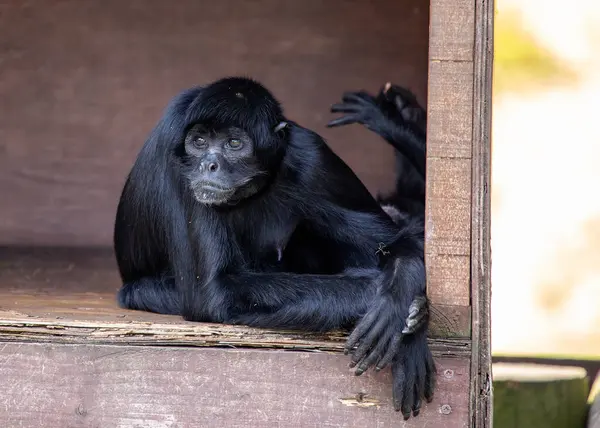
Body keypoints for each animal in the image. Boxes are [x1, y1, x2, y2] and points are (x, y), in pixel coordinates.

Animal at [112, 77, 434, 418]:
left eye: (234, 144)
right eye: (198, 142)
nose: (209, 164)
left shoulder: (311, 154)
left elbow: (406, 241)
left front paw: (399, 290)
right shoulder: (179, 157)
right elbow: (214, 292)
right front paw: (394, 302)